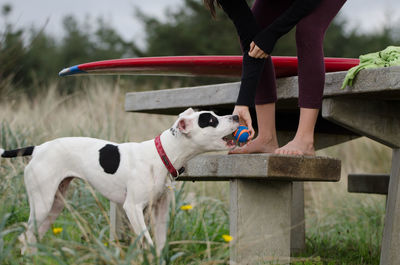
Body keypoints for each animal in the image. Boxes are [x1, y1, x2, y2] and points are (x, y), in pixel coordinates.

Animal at [0, 108, 239, 254]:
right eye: (211, 120)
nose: (236, 117)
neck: (161, 154)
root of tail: (38, 148)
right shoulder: (132, 208)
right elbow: (147, 242)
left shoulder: (160, 210)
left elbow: (160, 244)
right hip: (42, 204)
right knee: (25, 237)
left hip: (54, 206)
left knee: (32, 237)